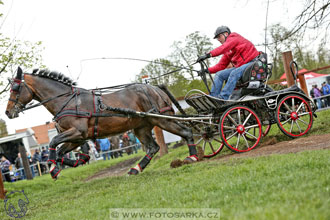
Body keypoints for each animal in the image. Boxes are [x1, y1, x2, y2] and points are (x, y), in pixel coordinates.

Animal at [5, 68, 199, 180]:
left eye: (15, 88)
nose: (8, 112)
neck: (67, 100)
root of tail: (156, 88)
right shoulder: (78, 138)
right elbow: (61, 151)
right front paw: (74, 162)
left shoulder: (77, 132)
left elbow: (53, 143)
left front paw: (53, 168)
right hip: (141, 127)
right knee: (153, 148)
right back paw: (135, 169)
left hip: (163, 119)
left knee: (187, 132)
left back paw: (192, 157)